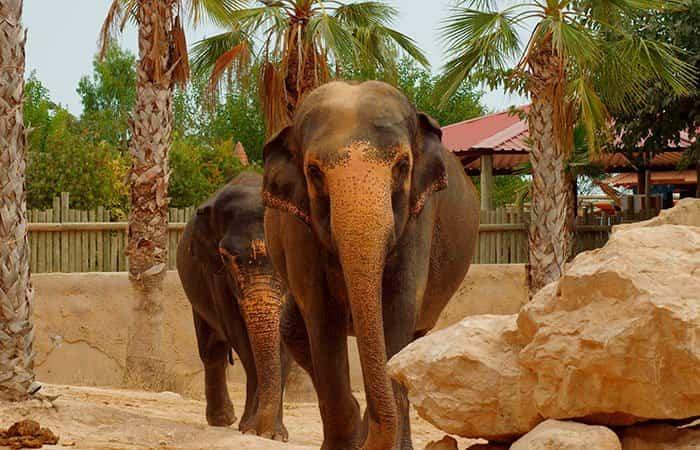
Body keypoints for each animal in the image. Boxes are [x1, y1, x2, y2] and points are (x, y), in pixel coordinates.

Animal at [177, 171, 291, 441]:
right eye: (227, 257)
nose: (264, 430)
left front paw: (273, 435)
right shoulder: (217, 274)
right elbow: (239, 335)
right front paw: (252, 429)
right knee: (212, 350)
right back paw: (223, 420)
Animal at [263, 80, 479, 449]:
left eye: (403, 165)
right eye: (313, 172)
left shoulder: (420, 215)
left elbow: (398, 308)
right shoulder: (298, 226)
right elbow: (322, 314)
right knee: (293, 329)